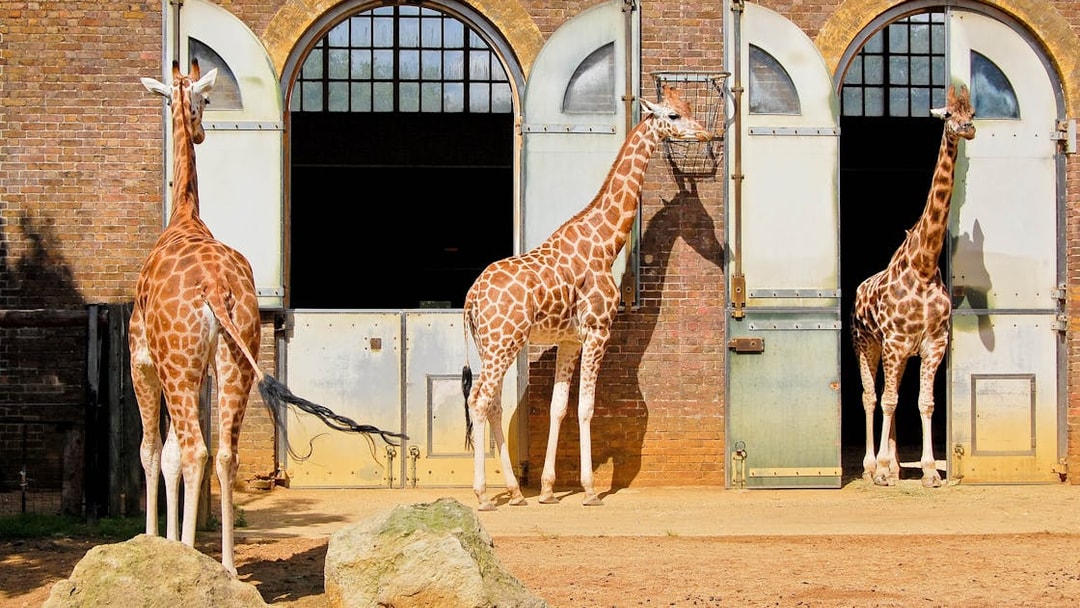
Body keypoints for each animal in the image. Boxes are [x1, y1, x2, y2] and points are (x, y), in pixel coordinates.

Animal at [134, 60, 405, 574]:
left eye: (206, 99)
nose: (200, 131)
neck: (183, 215)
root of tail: (213, 288)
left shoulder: (143, 361)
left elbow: (154, 451)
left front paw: (155, 543)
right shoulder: (199, 369)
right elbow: (171, 451)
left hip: (181, 364)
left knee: (195, 449)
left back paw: (196, 558)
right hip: (235, 359)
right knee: (225, 453)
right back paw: (226, 566)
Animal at [460, 85, 710, 511]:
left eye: (690, 108)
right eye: (673, 115)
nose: (707, 133)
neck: (606, 242)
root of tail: (471, 299)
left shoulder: (570, 340)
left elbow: (559, 408)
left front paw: (547, 489)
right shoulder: (598, 331)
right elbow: (587, 408)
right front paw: (591, 489)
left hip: (492, 346)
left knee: (492, 403)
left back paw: (516, 493)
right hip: (503, 342)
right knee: (479, 400)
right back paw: (482, 496)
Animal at [850, 84, 975, 488]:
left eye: (972, 112)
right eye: (948, 114)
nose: (967, 129)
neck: (923, 265)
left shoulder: (933, 344)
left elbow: (924, 402)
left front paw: (929, 472)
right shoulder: (893, 342)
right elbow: (887, 400)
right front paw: (881, 470)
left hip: (901, 354)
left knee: (893, 394)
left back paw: (893, 465)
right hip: (867, 344)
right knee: (871, 396)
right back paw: (872, 467)